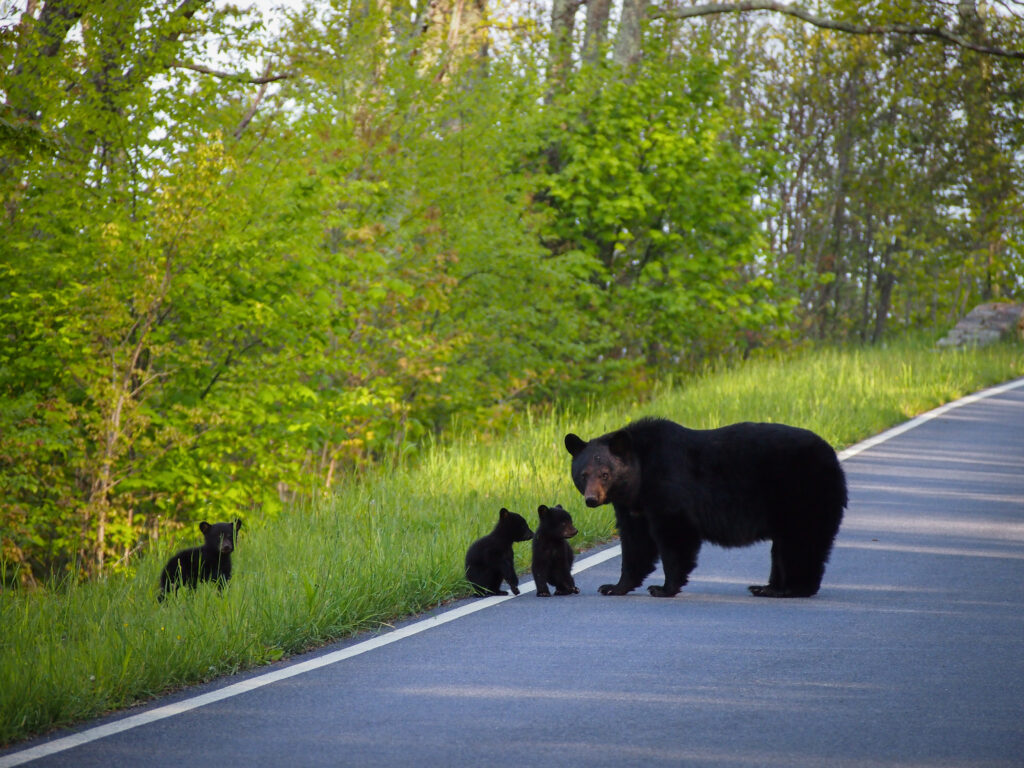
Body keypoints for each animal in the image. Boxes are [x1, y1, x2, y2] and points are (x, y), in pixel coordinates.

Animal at [564, 418, 846, 598]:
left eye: (604, 473)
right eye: (582, 474)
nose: (591, 499)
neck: (640, 476)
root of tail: (831, 455)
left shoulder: (667, 489)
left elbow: (674, 537)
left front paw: (663, 588)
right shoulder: (633, 507)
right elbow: (636, 544)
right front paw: (614, 586)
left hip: (801, 494)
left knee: (799, 542)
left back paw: (789, 589)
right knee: (785, 547)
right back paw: (766, 588)